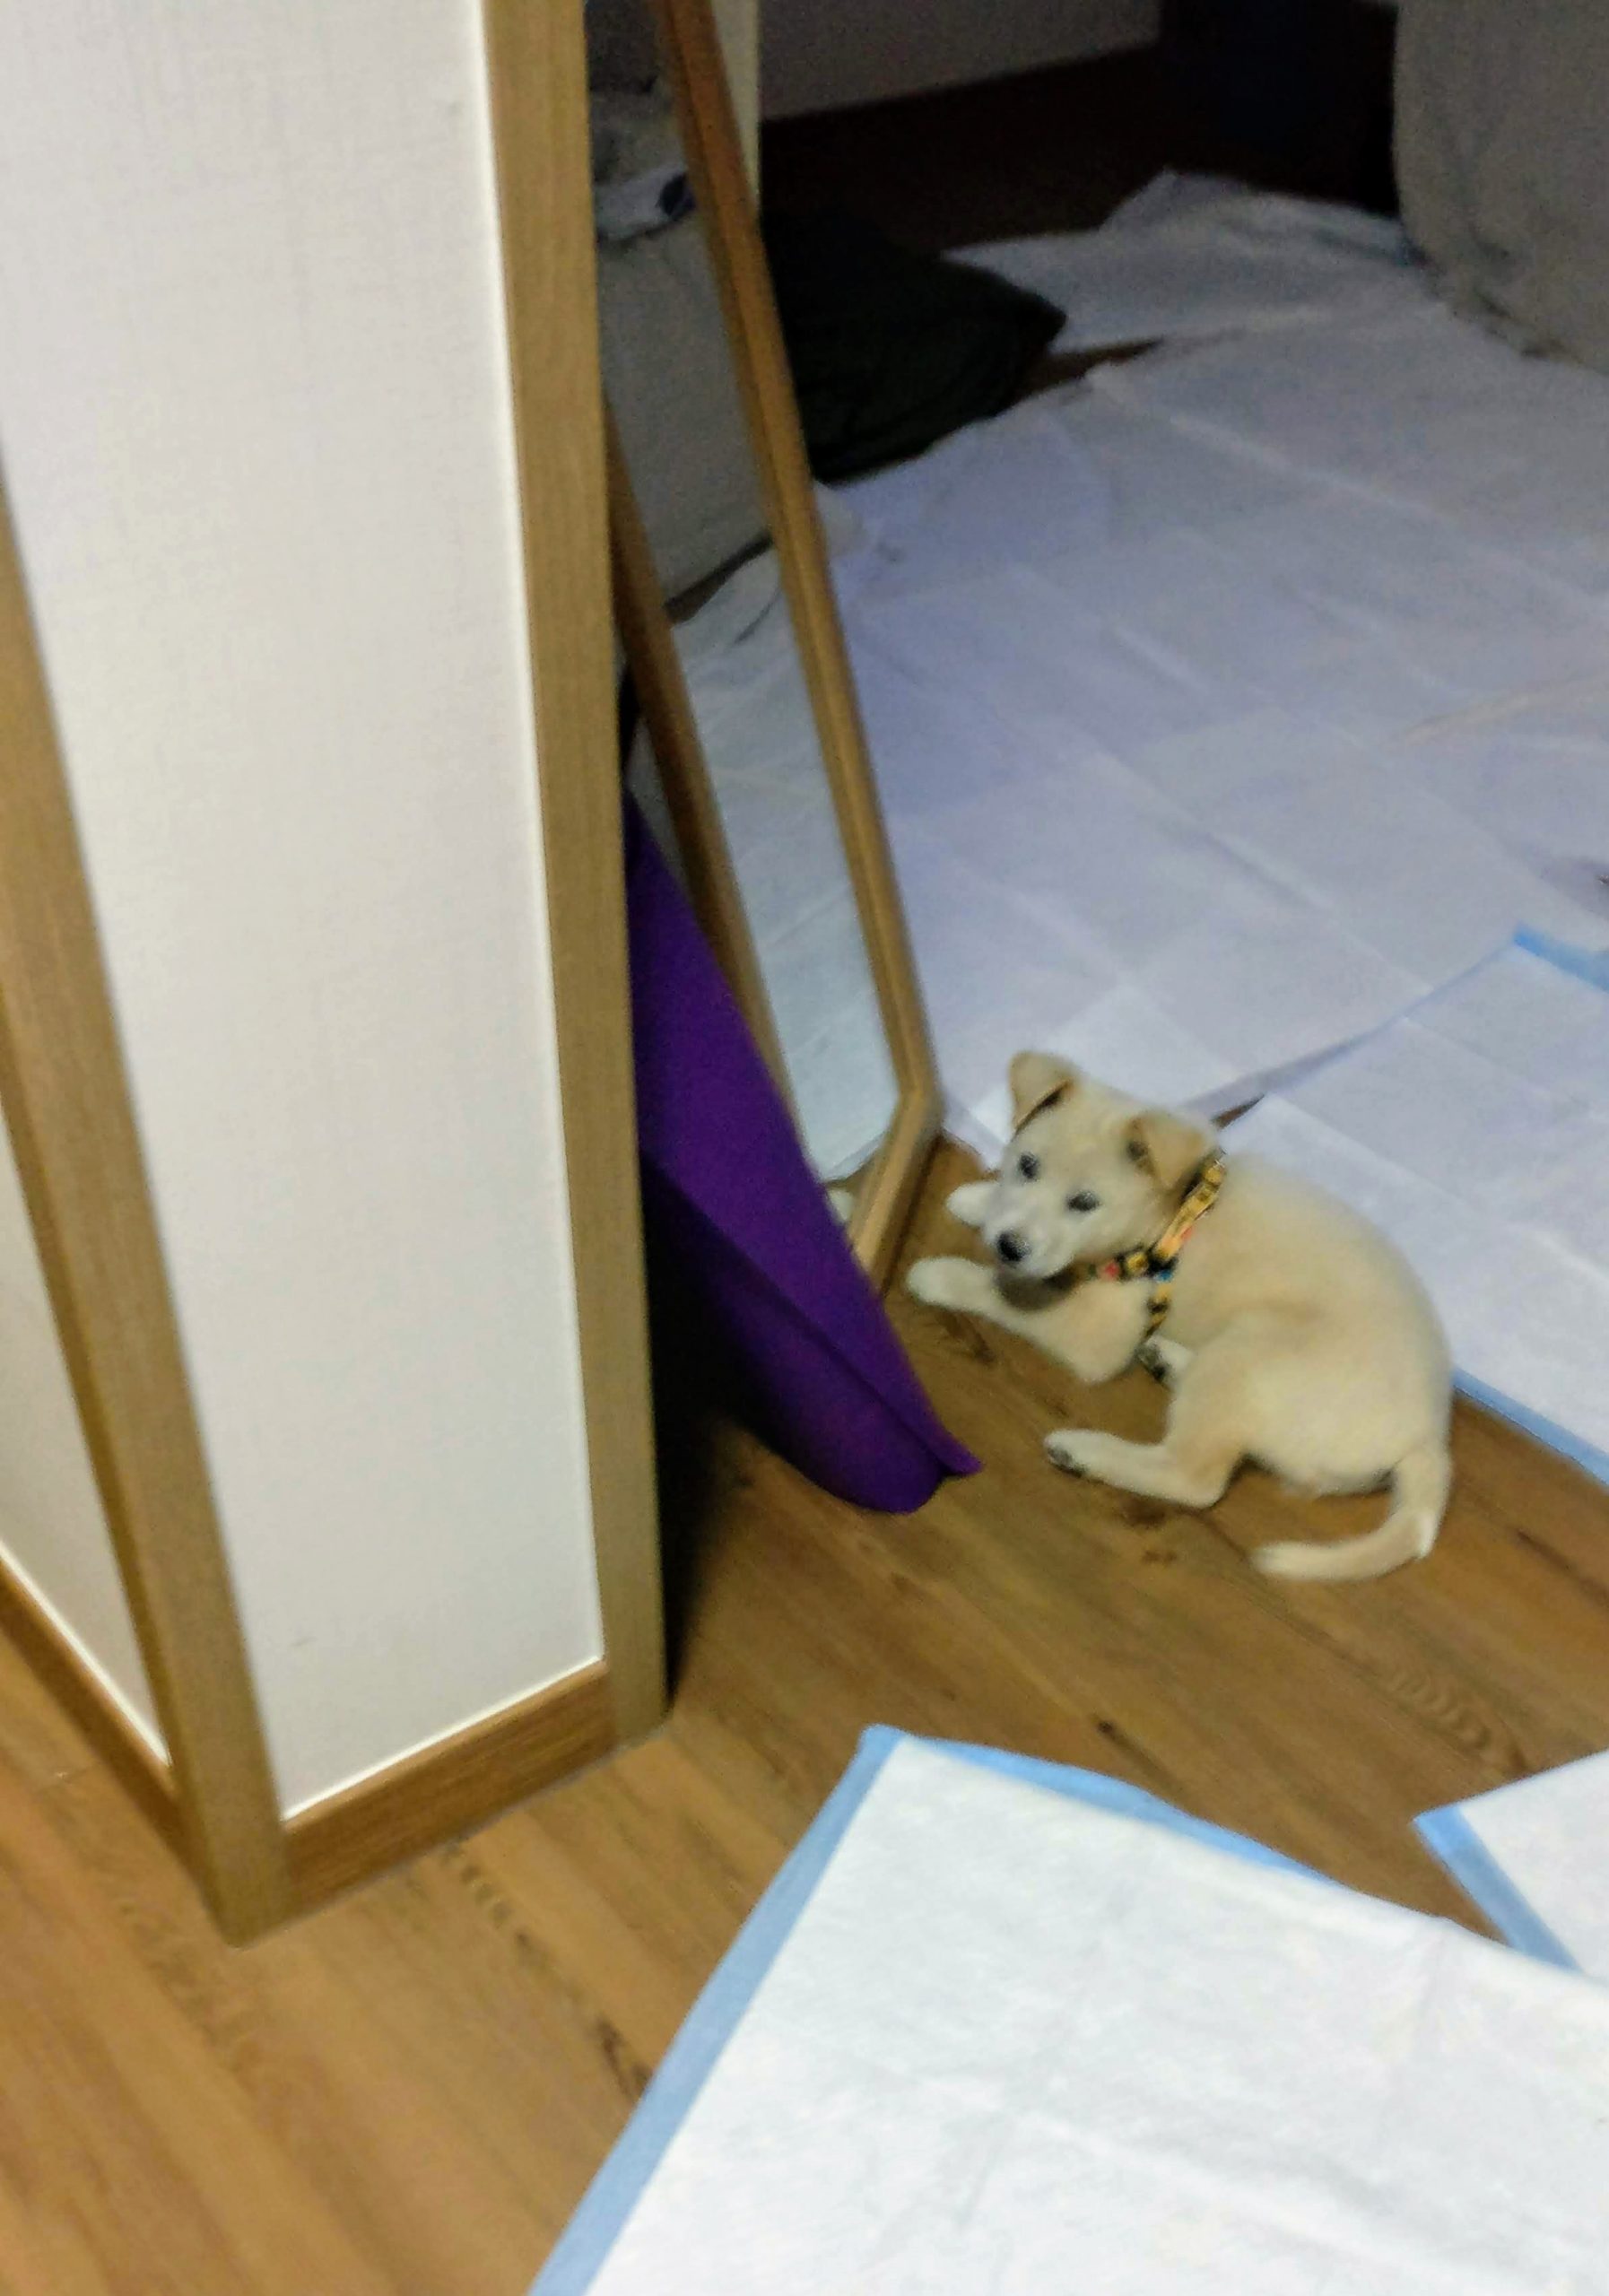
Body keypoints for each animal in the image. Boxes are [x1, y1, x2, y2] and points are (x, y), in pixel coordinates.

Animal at [908, 1053, 1453, 1581]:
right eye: (1026, 1165)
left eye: (1084, 1203)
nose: (1008, 1246)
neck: (1167, 1218)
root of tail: (1428, 1437)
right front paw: (978, 1200)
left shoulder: (1094, 1333)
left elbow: (1010, 1292)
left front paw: (941, 1275)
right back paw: (1168, 1359)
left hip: (1249, 1352)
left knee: (1195, 1478)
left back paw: (1086, 1451)